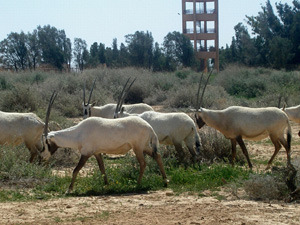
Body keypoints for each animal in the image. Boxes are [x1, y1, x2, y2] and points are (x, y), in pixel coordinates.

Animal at [41, 92, 169, 193]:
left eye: (45, 143)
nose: (42, 157)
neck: (79, 133)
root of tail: (149, 127)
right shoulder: (97, 153)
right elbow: (102, 169)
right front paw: (107, 186)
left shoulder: (86, 154)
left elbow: (75, 170)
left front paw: (69, 190)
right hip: (144, 147)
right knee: (157, 156)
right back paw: (165, 181)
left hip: (137, 148)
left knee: (143, 163)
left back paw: (137, 184)